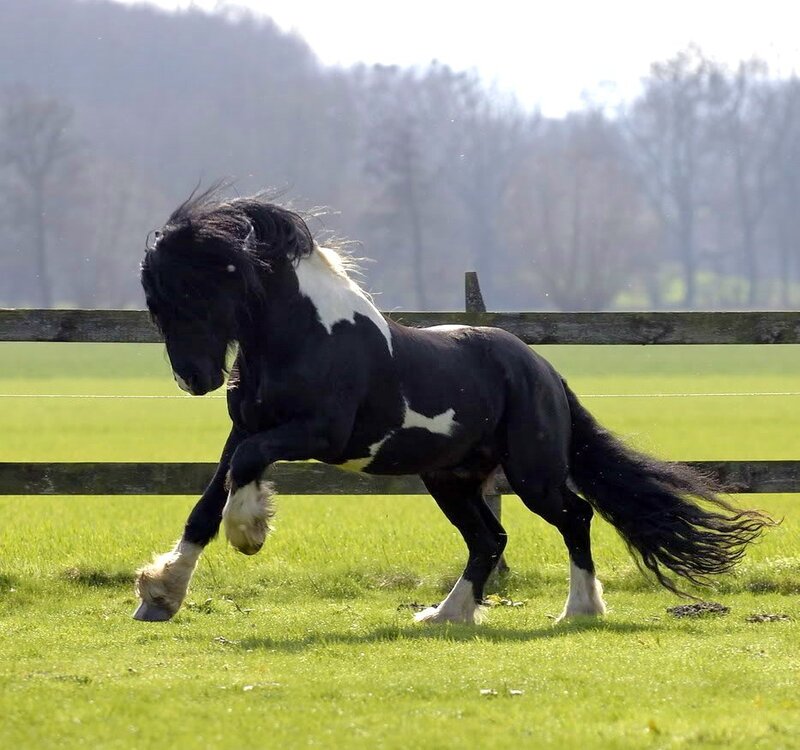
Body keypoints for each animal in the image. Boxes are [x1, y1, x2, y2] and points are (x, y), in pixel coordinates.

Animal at [133, 187, 772, 624]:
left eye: (190, 289)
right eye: (154, 301)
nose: (194, 379)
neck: (308, 335)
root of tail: (543, 370)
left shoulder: (320, 433)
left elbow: (244, 474)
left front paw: (249, 531)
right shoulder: (244, 429)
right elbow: (207, 502)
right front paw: (161, 593)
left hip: (531, 473)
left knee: (574, 516)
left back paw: (579, 610)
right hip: (451, 477)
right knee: (490, 539)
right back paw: (447, 615)